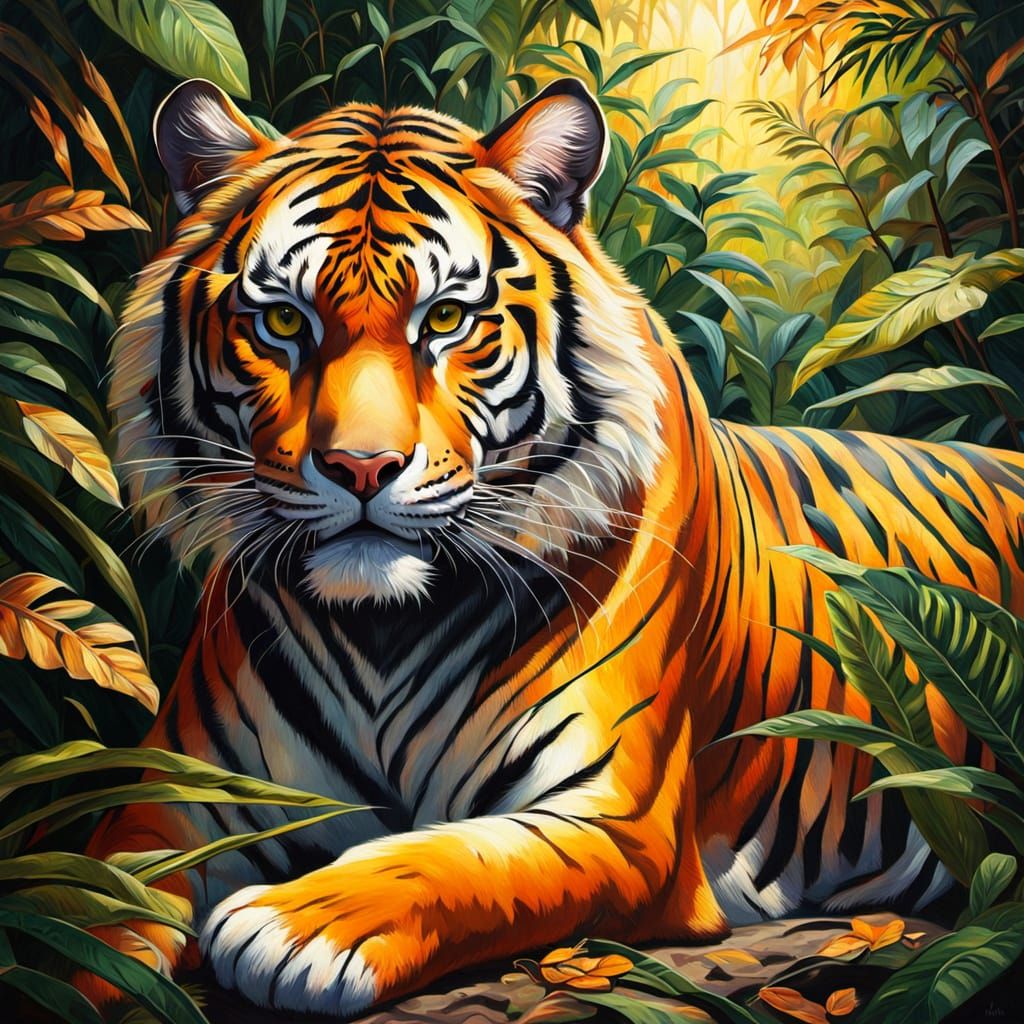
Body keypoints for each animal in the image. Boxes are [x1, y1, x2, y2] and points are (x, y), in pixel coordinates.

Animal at [84, 76, 1024, 1017]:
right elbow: (96, 903)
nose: (362, 466)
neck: (380, 628)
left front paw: (298, 924)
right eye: (281, 319)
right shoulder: (174, 803)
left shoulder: (616, 820)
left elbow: (451, 859)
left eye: (447, 318)